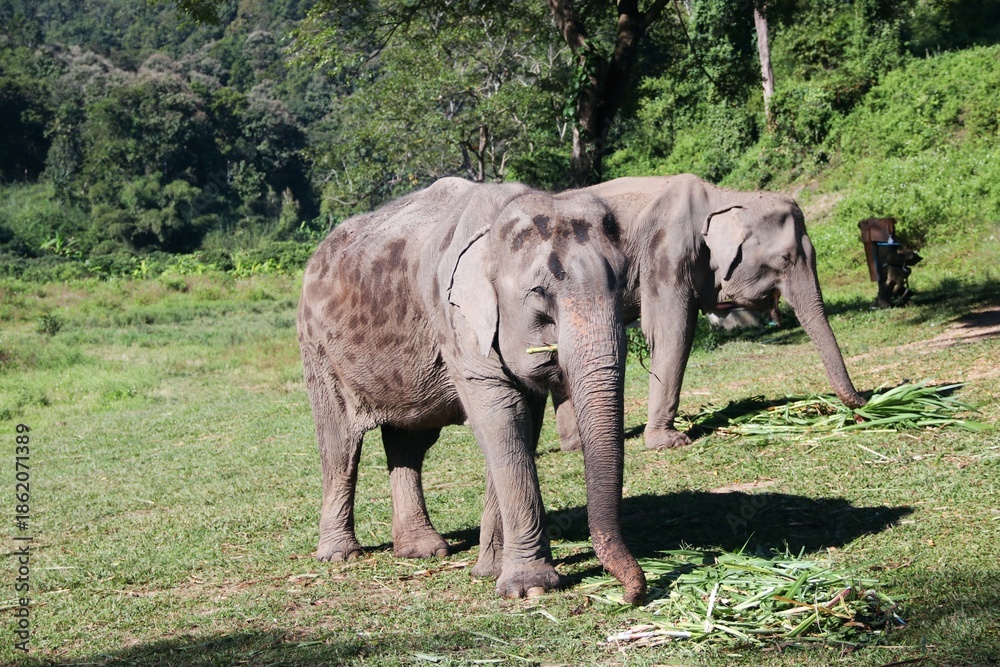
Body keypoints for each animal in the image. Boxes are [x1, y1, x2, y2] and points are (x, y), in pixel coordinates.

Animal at [296, 177, 646, 602]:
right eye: (539, 293)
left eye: (624, 283)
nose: (633, 595)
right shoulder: (456, 321)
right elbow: (501, 420)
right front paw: (529, 588)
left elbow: (521, 425)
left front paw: (492, 571)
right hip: (317, 350)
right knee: (340, 447)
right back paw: (340, 555)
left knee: (408, 443)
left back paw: (422, 551)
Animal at [551, 174, 867, 451]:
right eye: (785, 258)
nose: (864, 403)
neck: (726, 197)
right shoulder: (666, 252)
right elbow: (672, 332)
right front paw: (670, 442)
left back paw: (575, 447)